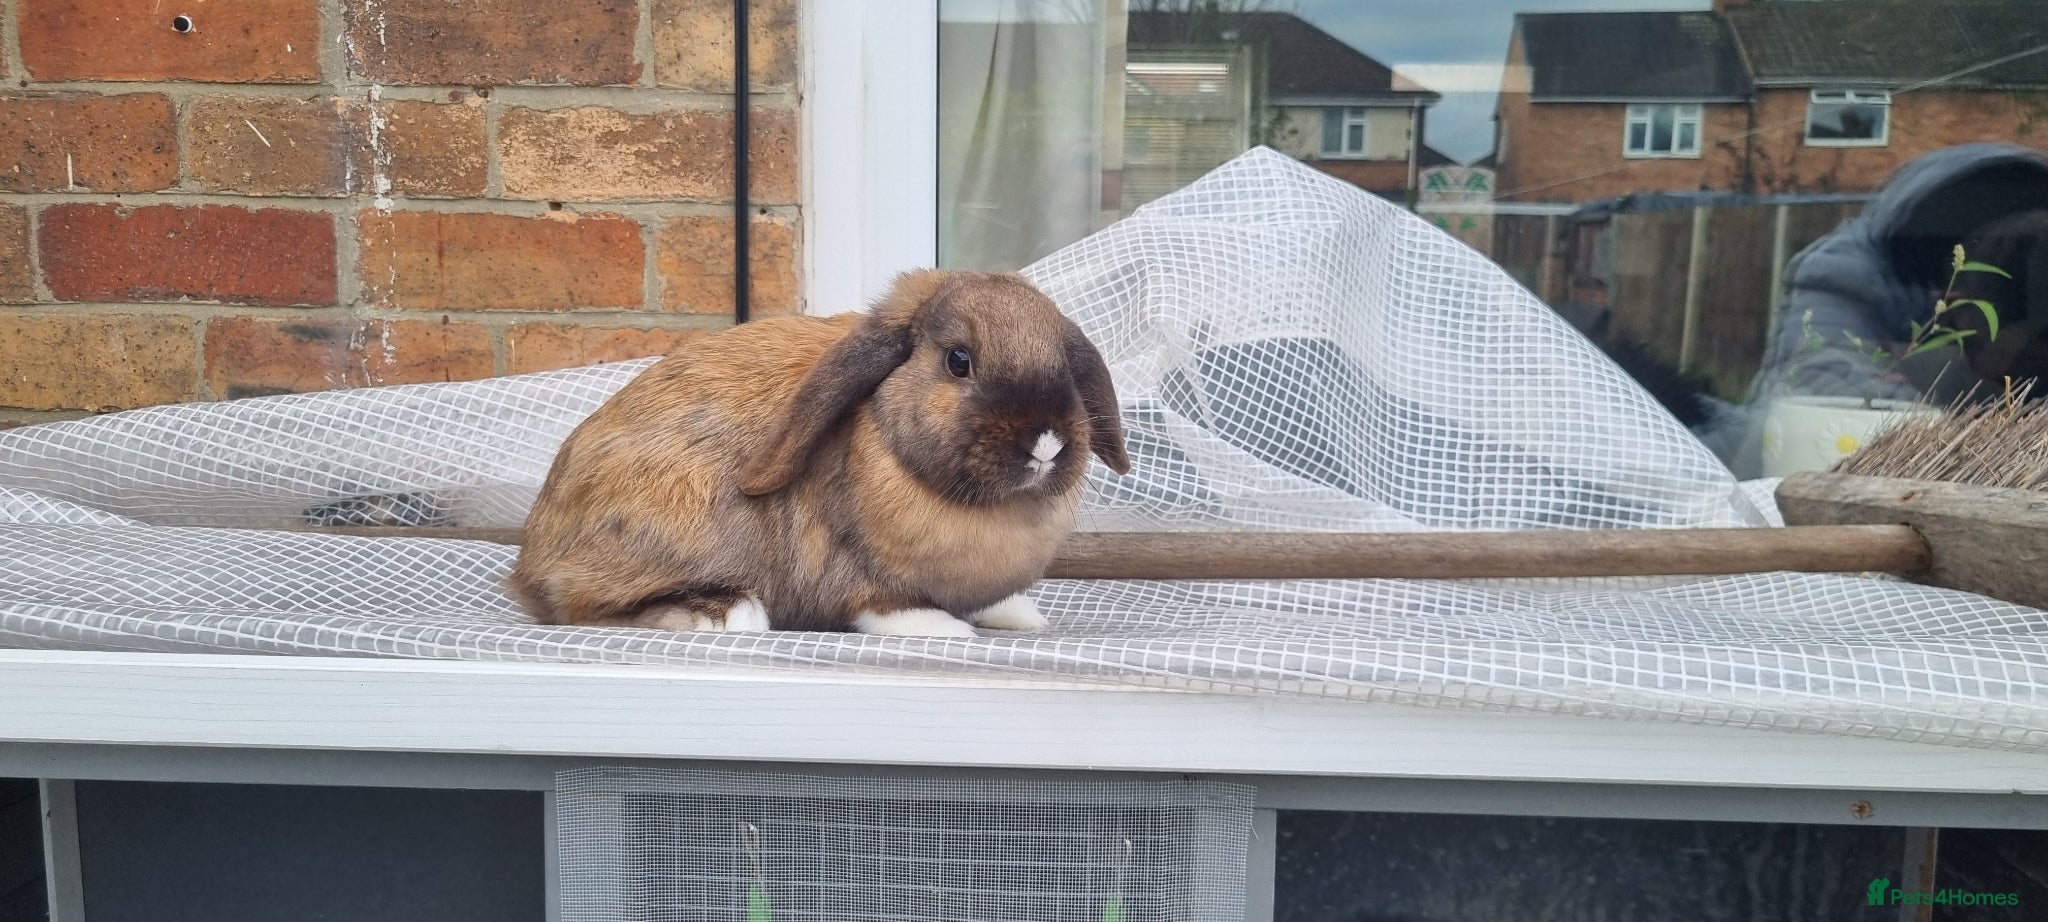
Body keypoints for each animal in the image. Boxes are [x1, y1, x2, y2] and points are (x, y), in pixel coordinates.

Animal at [506, 268, 1131, 637]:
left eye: (1064, 365)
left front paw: (1019, 615)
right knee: (583, 604)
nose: (1046, 441)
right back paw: (726, 613)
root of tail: (531, 563)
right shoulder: (852, 577)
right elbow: (883, 606)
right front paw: (943, 629)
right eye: (959, 360)